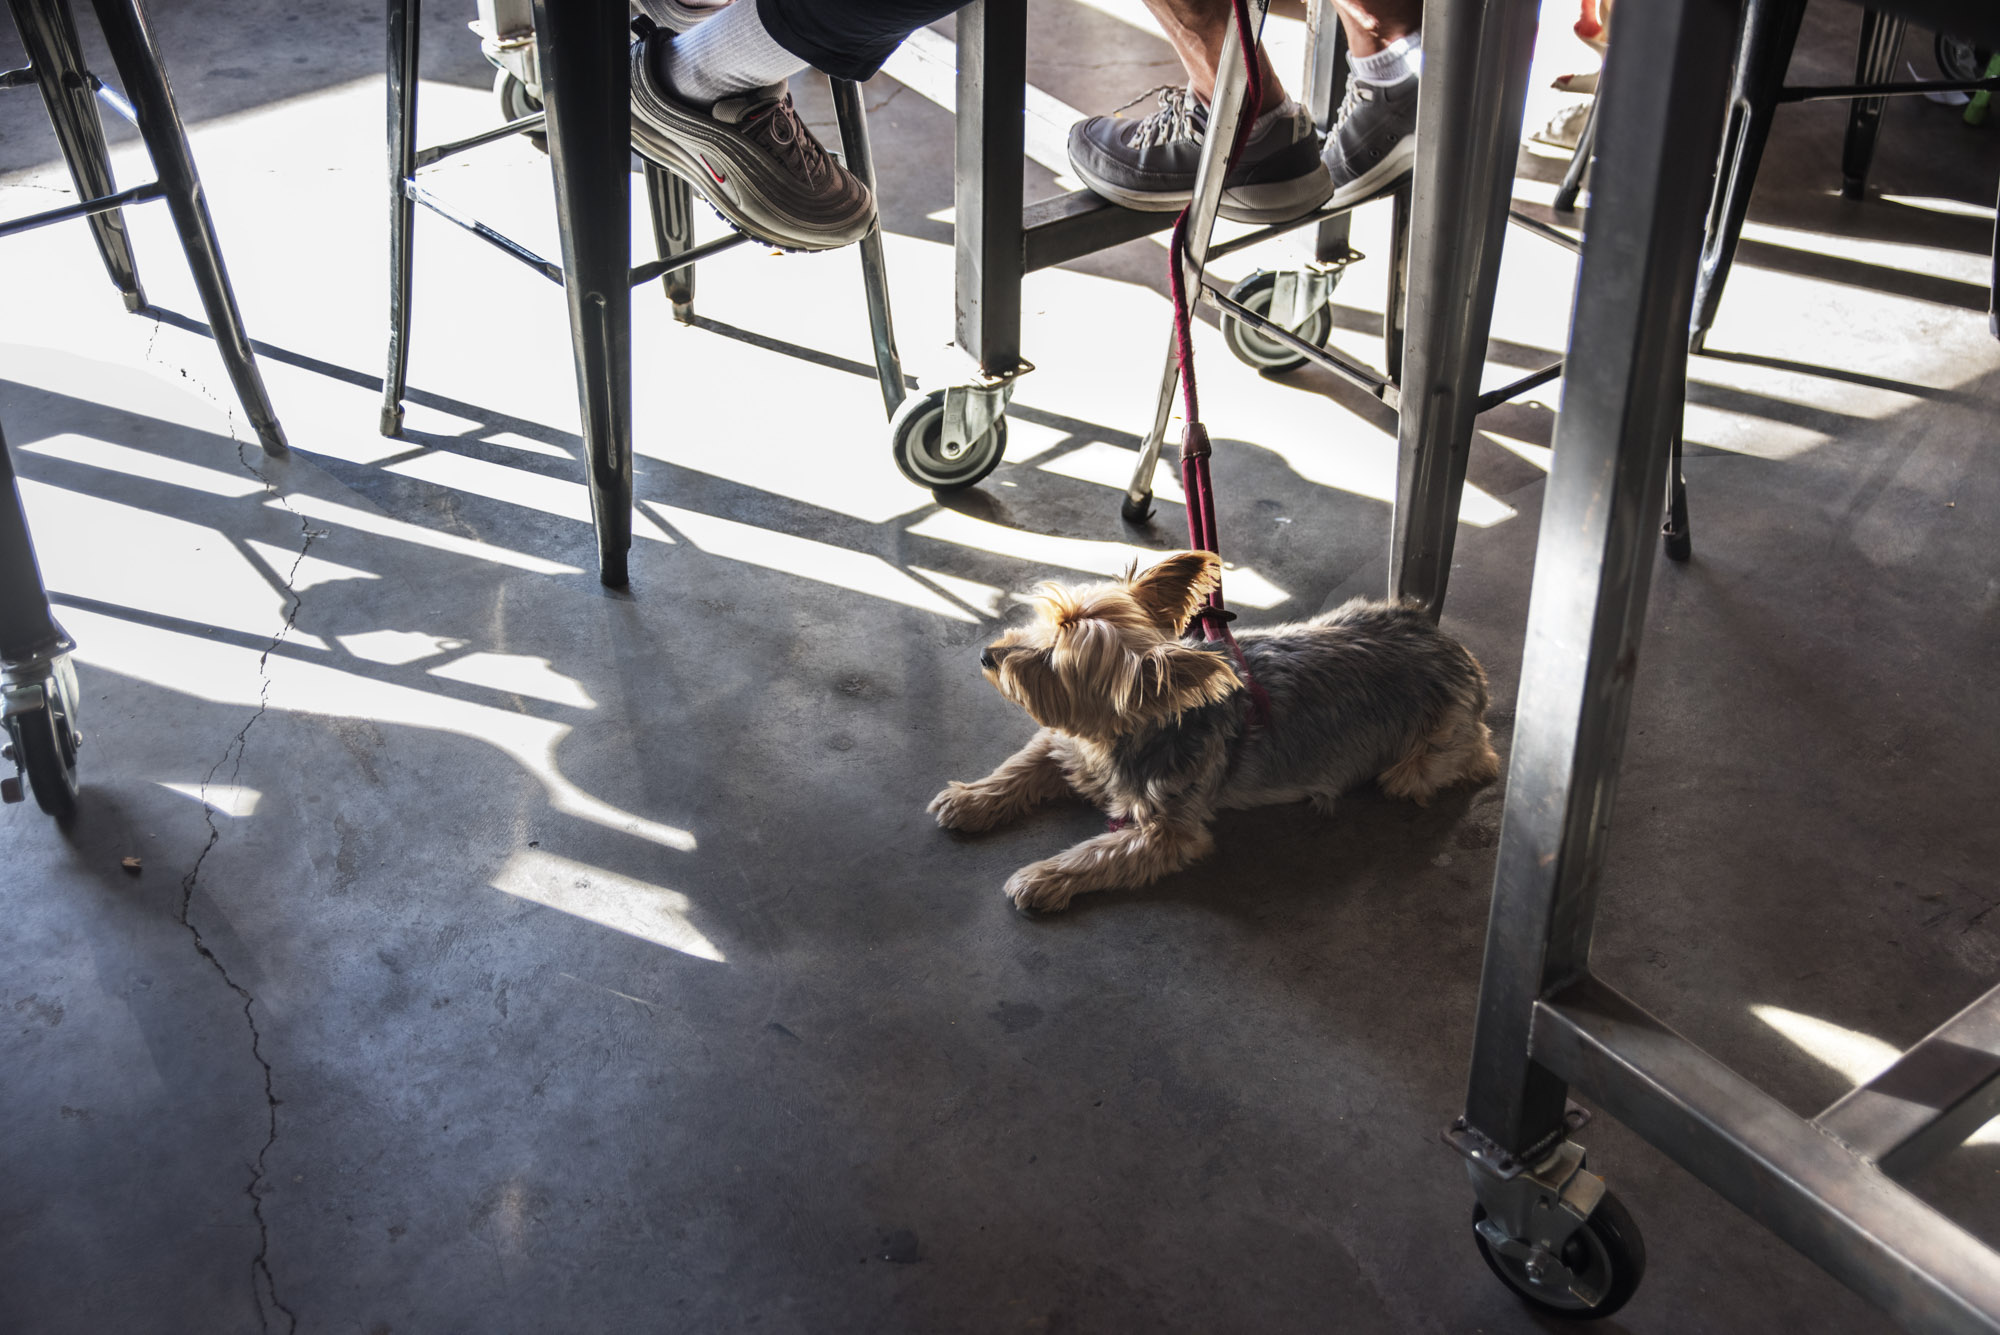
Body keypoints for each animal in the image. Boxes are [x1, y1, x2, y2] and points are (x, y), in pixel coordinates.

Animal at [928, 547, 1496, 911]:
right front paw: (970, 799)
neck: (1116, 739)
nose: (988, 656)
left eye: (1053, 660)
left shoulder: (1168, 830)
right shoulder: (1062, 747)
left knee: (1469, 761)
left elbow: (1097, 852)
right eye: (1043, 623)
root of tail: (1459, 652)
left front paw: (1043, 876)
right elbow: (1019, 767)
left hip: (1425, 758)